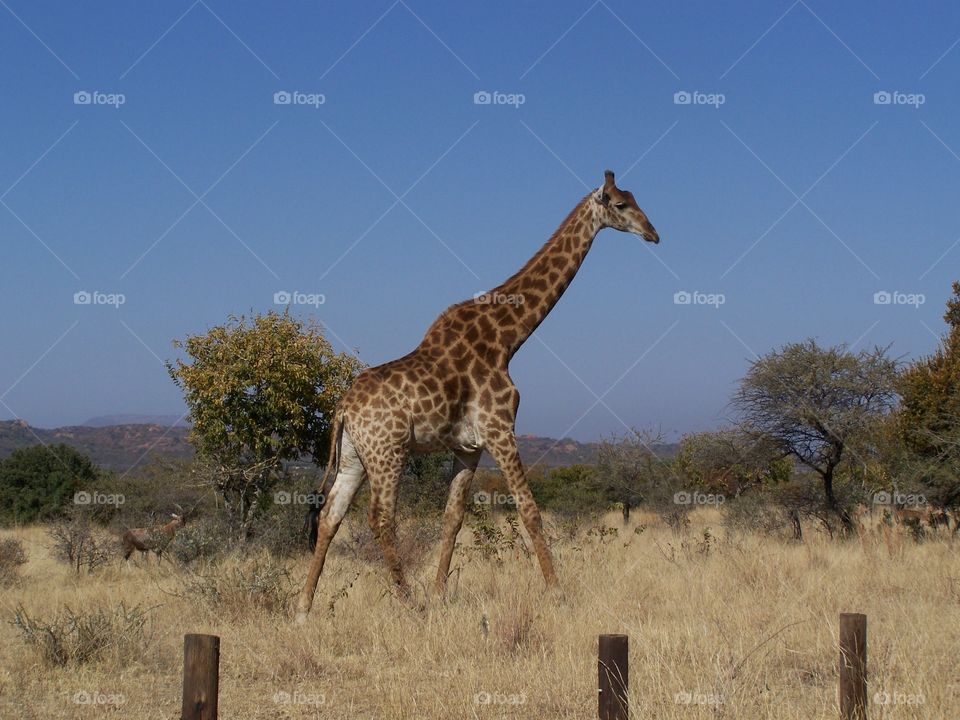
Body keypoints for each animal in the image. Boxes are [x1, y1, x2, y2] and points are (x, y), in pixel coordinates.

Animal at [295, 170, 659, 621]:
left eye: (635, 199)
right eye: (621, 204)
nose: (654, 233)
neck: (507, 339)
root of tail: (343, 408)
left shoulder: (468, 447)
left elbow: (452, 517)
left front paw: (439, 595)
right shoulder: (500, 429)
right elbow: (529, 510)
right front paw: (558, 594)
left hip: (354, 457)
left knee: (331, 516)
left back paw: (304, 608)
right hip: (388, 451)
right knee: (380, 517)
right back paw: (407, 602)